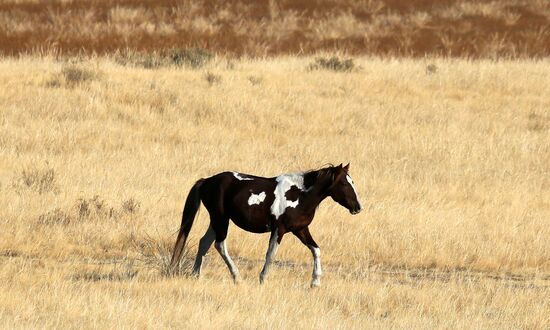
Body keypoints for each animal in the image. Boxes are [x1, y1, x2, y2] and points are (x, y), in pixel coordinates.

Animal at [170, 164, 364, 288]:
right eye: (344, 183)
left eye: (352, 182)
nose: (358, 207)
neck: (301, 195)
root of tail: (207, 181)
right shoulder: (279, 230)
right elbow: (271, 254)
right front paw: (263, 279)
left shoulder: (300, 229)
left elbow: (316, 250)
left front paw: (315, 282)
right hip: (221, 219)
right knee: (219, 245)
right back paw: (237, 277)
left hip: (216, 221)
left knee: (204, 243)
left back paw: (196, 275)